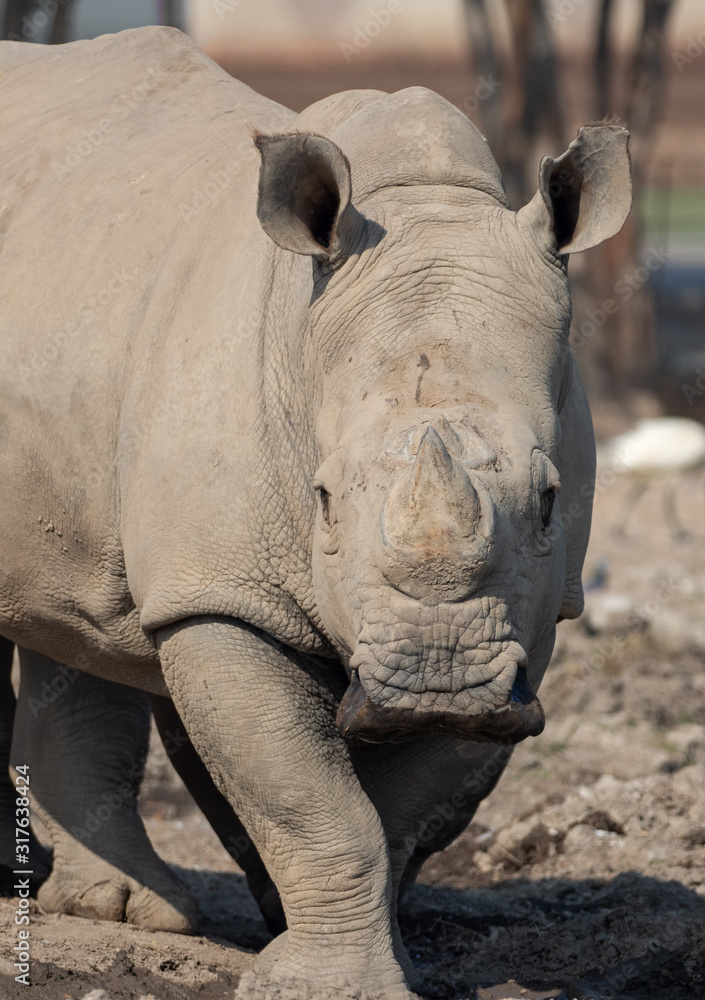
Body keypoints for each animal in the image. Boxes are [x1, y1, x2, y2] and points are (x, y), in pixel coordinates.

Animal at [0, 25, 631, 1000]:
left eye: (548, 501)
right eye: (323, 500)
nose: (438, 676)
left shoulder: (537, 616)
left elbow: (400, 814)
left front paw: (394, 968)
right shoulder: (220, 593)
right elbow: (313, 805)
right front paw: (325, 985)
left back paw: (120, 912)